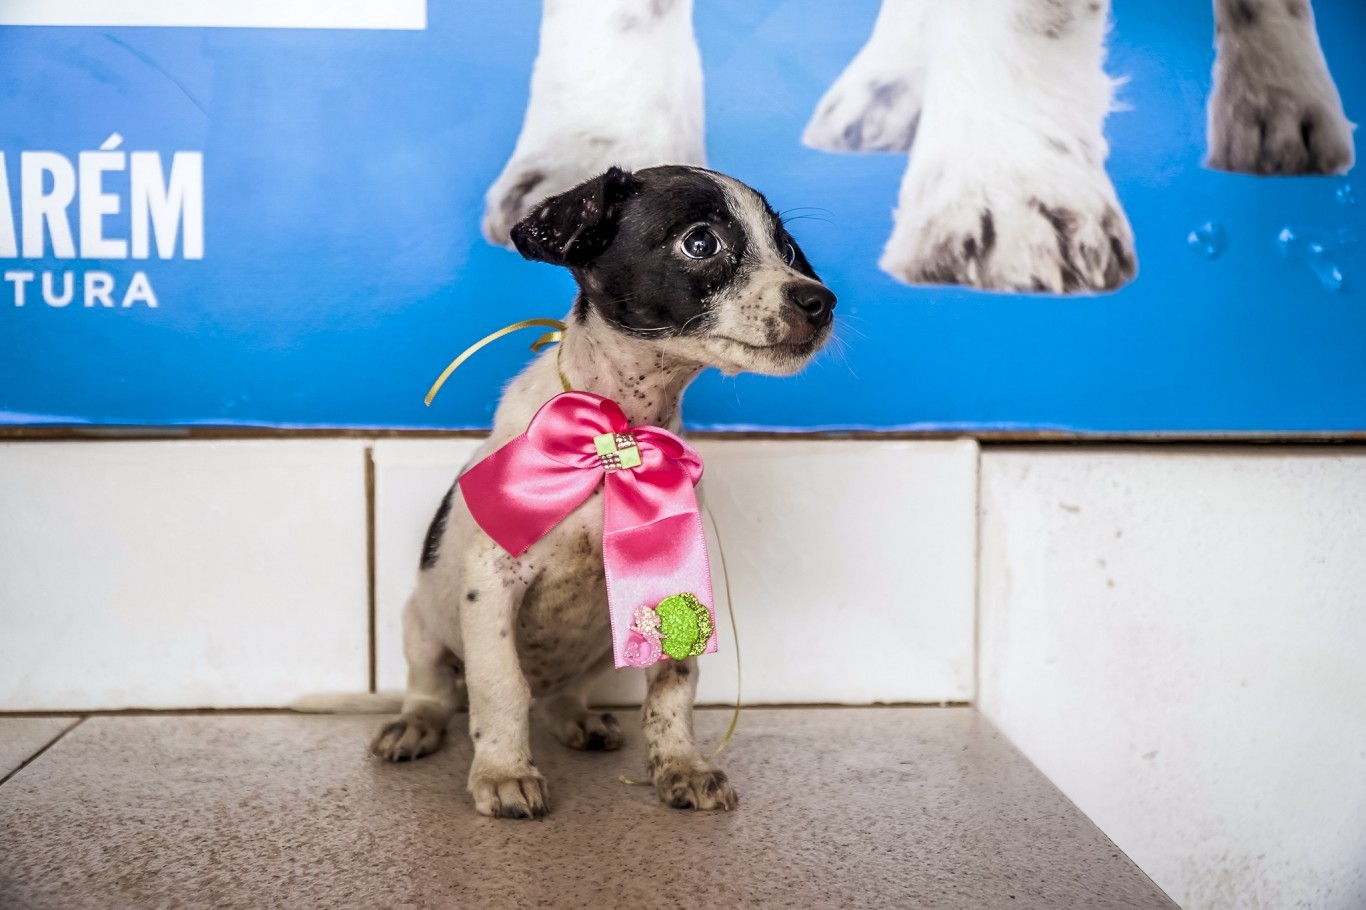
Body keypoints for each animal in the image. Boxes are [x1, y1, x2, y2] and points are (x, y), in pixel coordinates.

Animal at [377, 163, 841, 814]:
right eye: (701, 243)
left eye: (787, 248)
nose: (821, 302)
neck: (616, 436)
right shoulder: (491, 583)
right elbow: (498, 686)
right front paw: (502, 772)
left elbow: (673, 687)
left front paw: (680, 766)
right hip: (421, 627)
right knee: (437, 689)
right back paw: (416, 724)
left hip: (596, 651)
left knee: (557, 697)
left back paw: (579, 719)